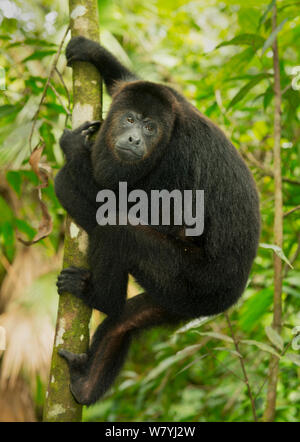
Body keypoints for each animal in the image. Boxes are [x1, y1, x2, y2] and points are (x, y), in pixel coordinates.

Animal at [55, 36, 262, 406]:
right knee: (125, 320)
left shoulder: (175, 161)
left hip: (188, 278)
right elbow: (137, 84)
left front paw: (73, 151)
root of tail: (231, 294)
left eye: (150, 128)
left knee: (117, 229)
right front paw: (90, 50)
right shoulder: (177, 104)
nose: (135, 139)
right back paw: (84, 383)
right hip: (180, 301)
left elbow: (142, 212)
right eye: (130, 119)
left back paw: (97, 297)